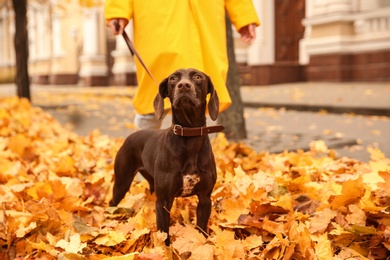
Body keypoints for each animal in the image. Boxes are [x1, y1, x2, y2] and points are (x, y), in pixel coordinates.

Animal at [111, 68, 224, 245]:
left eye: (197, 76)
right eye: (173, 78)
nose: (183, 85)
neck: (189, 137)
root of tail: (130, 136)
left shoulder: (205, 198)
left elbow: (201, 229)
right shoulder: (164, 201)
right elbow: (164, 234)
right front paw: (165, 249)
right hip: (122, 183)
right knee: (113, 201)